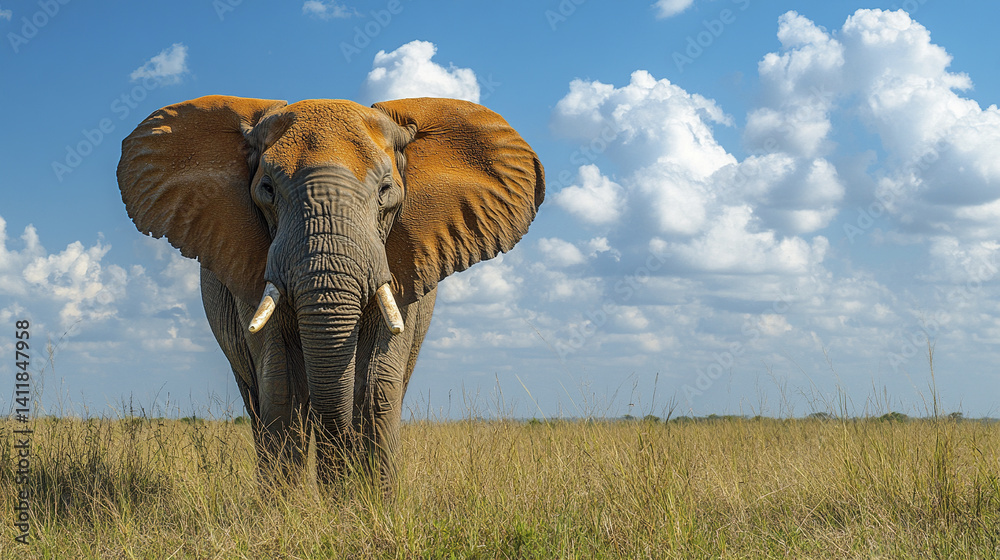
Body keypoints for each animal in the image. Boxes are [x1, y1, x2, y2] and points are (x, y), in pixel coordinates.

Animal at [116, 95, 544, 487]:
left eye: (385, 191)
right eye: (267, 190)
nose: (336, 492)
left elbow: (374, 387)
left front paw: (367, 506)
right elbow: (284, 385)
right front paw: (292, 512)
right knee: (258, 401)